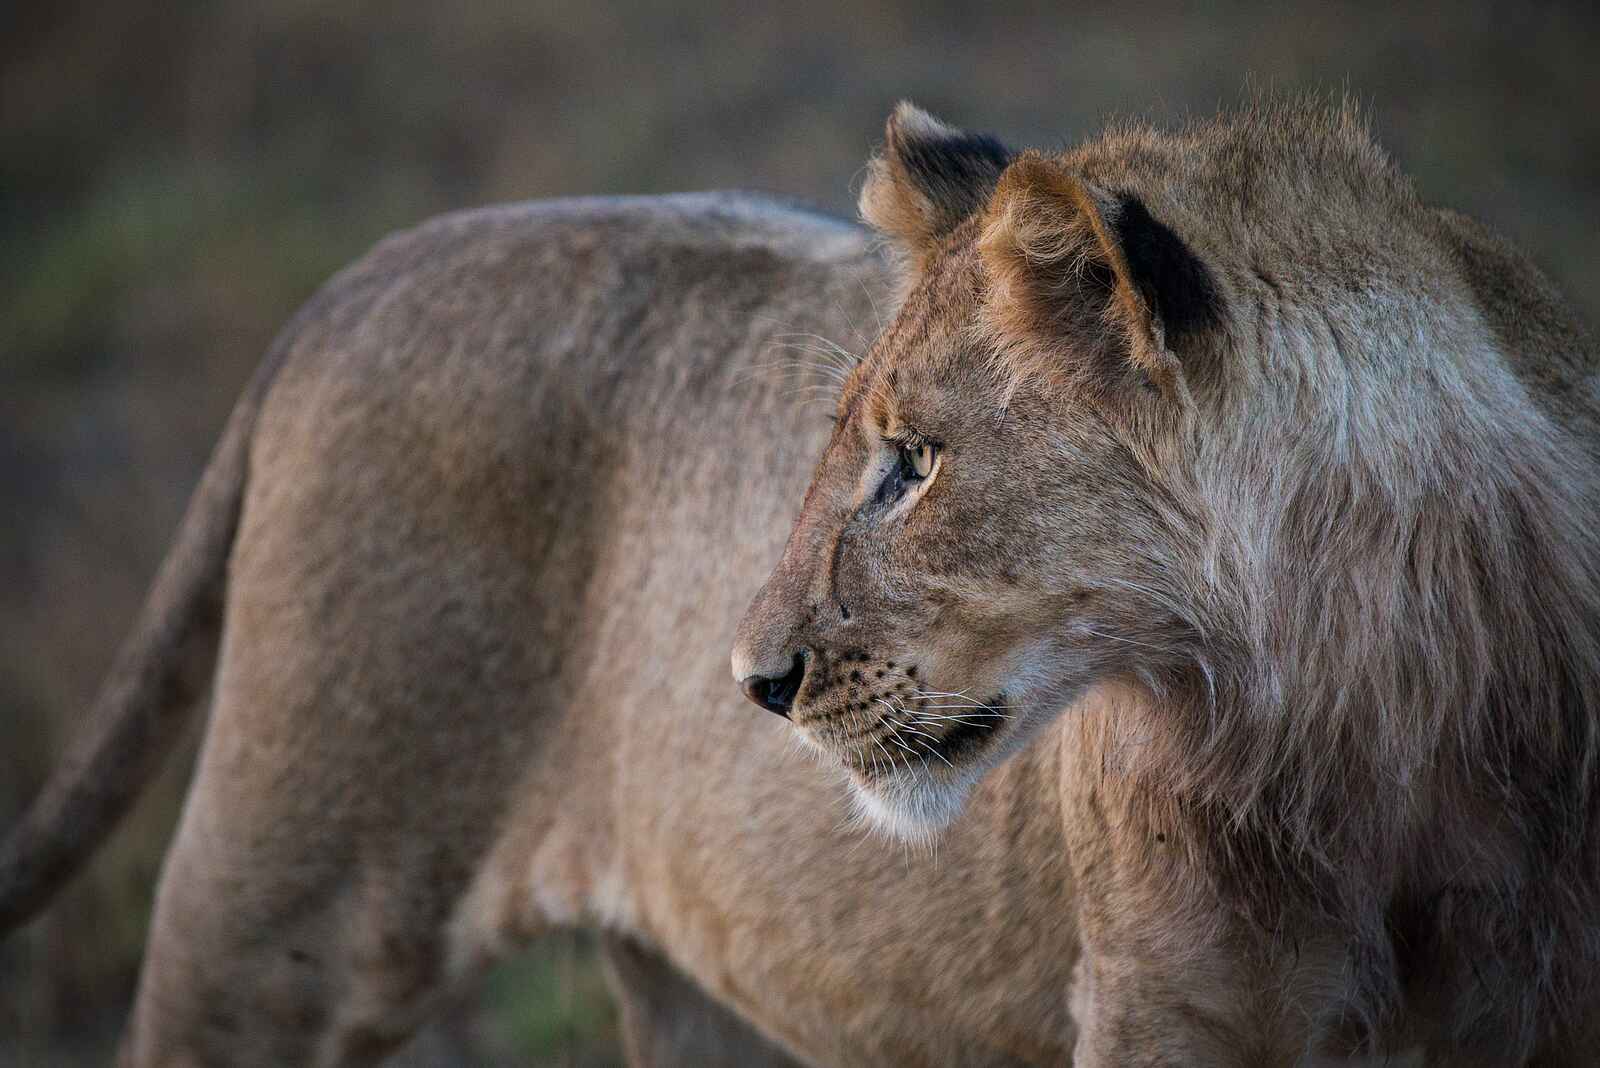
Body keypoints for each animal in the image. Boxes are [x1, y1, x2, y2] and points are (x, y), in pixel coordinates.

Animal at [4, 99, 1599, 1067]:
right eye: (850, 450)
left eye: (914, 464)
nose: (749, 684)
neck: (1367, 708)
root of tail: (344, 288)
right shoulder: (1168, 1008)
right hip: (271, 925)